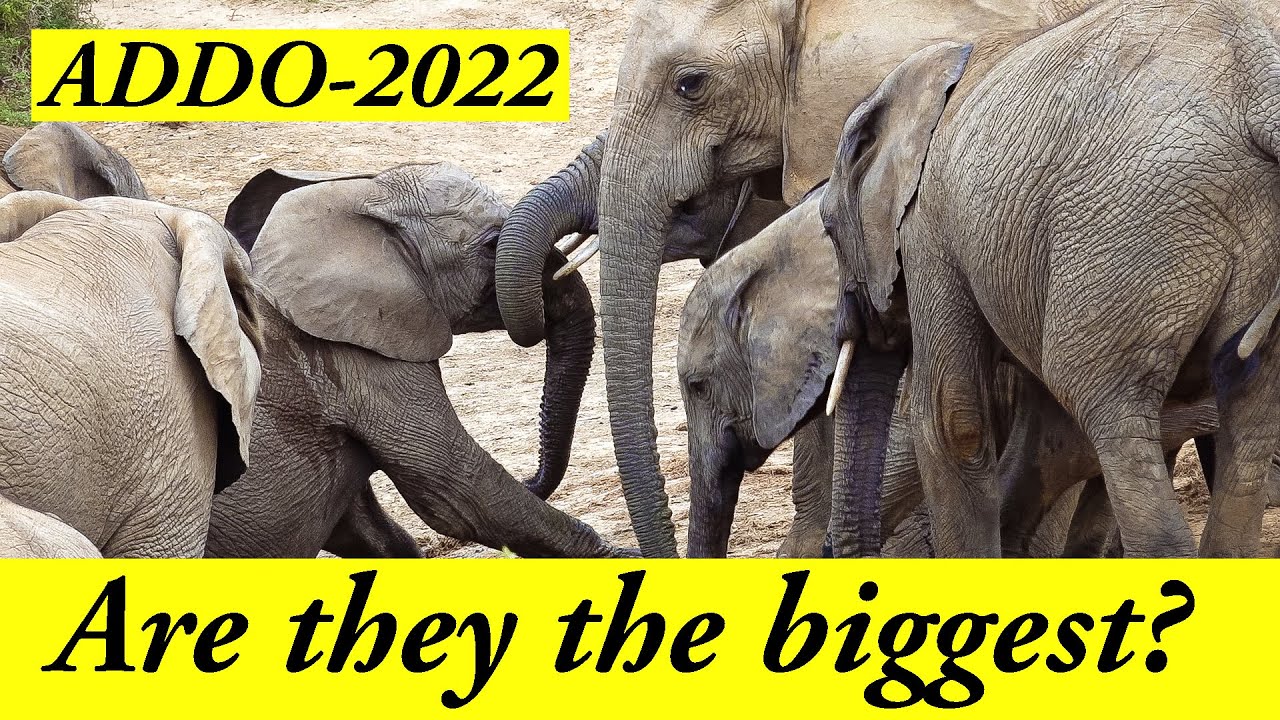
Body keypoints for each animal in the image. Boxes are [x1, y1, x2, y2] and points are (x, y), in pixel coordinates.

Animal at [822, 0, 1280, 557]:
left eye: (827, 228)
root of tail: (1260, 86)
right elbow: (1047, 437)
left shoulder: (929, 228)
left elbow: (953, 420)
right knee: (1249, 415)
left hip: (1131, 226)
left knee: (1108, 408)